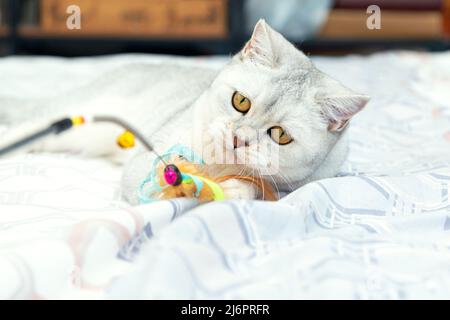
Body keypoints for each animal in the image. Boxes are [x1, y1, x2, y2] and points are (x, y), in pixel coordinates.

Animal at [0, 20, 370, 204]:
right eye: (241, 102)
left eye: (279, 135)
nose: (238, 139)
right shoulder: (144, 162)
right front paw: (184, 184)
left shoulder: (296, 187)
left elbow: (260, 190)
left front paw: (235, 190)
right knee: (25, 126)